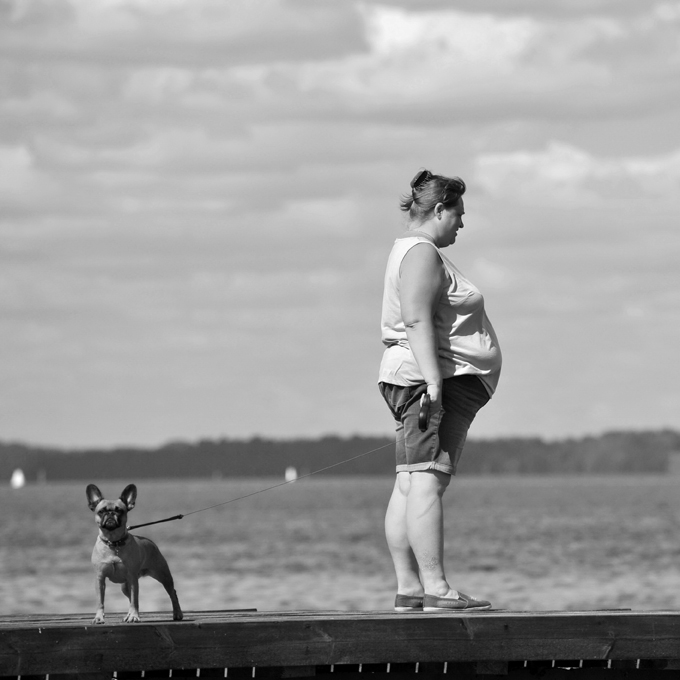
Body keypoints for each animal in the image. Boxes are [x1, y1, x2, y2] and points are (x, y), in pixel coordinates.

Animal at [87, 480, 183, 624]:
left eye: (120, 511)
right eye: (101, 511)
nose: (110, 514)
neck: (114, 542)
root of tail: (150, 542)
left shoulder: (132, 578)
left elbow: (135, 600)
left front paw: (134, 616)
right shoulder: (100, 579)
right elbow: (100, 601)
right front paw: (99, 617)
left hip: (163, 576)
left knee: (172, 593)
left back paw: (177, 613)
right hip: (125, 586)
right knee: (130, 598)